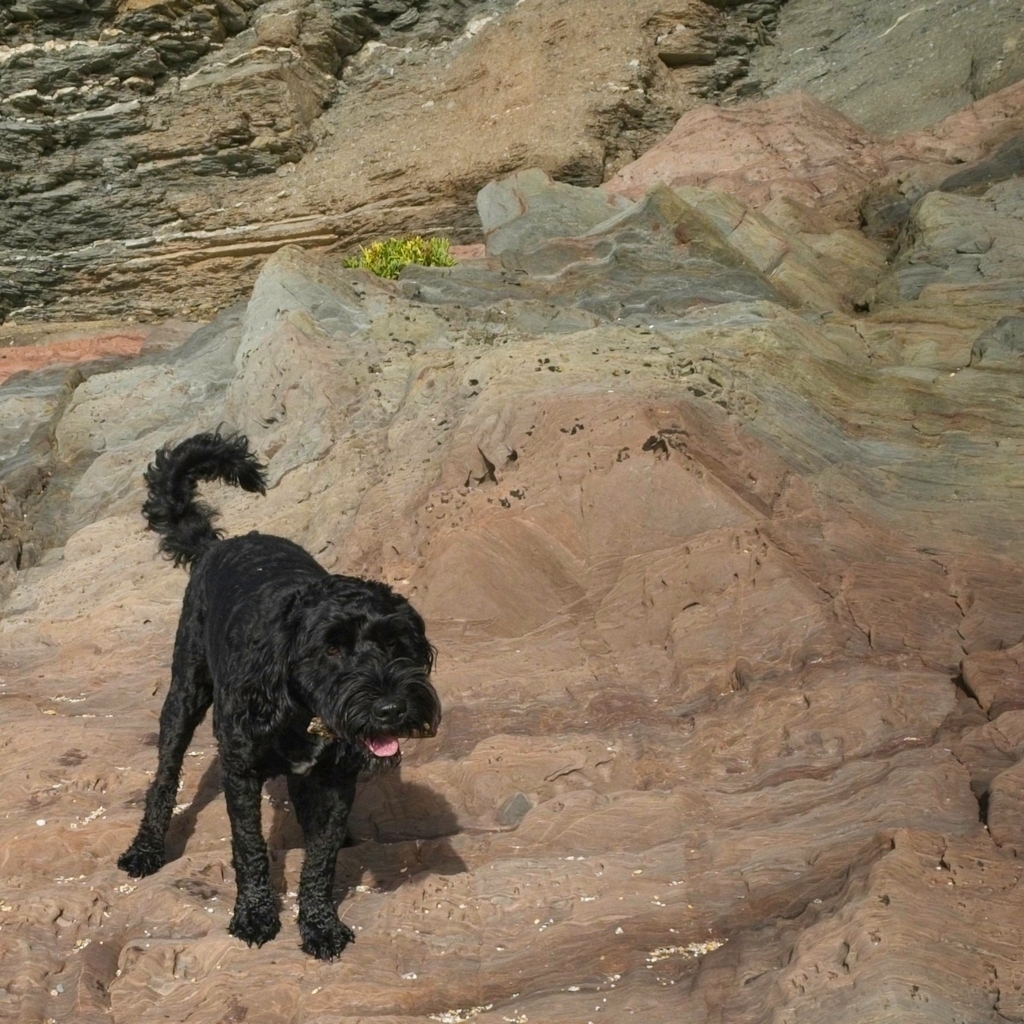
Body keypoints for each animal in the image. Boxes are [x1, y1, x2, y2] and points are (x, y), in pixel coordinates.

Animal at [118, 432, 440, 958]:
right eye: (332, 647)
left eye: (396, 643)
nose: (391, 709)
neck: (299, 707)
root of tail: (218, 545)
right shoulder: (241, 773)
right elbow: (249, 847)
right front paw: (254, 916)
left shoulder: (334, 781)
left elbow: (320, 859)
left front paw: (320, 924)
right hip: (184, 693)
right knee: (164, 776)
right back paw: (145, 849)